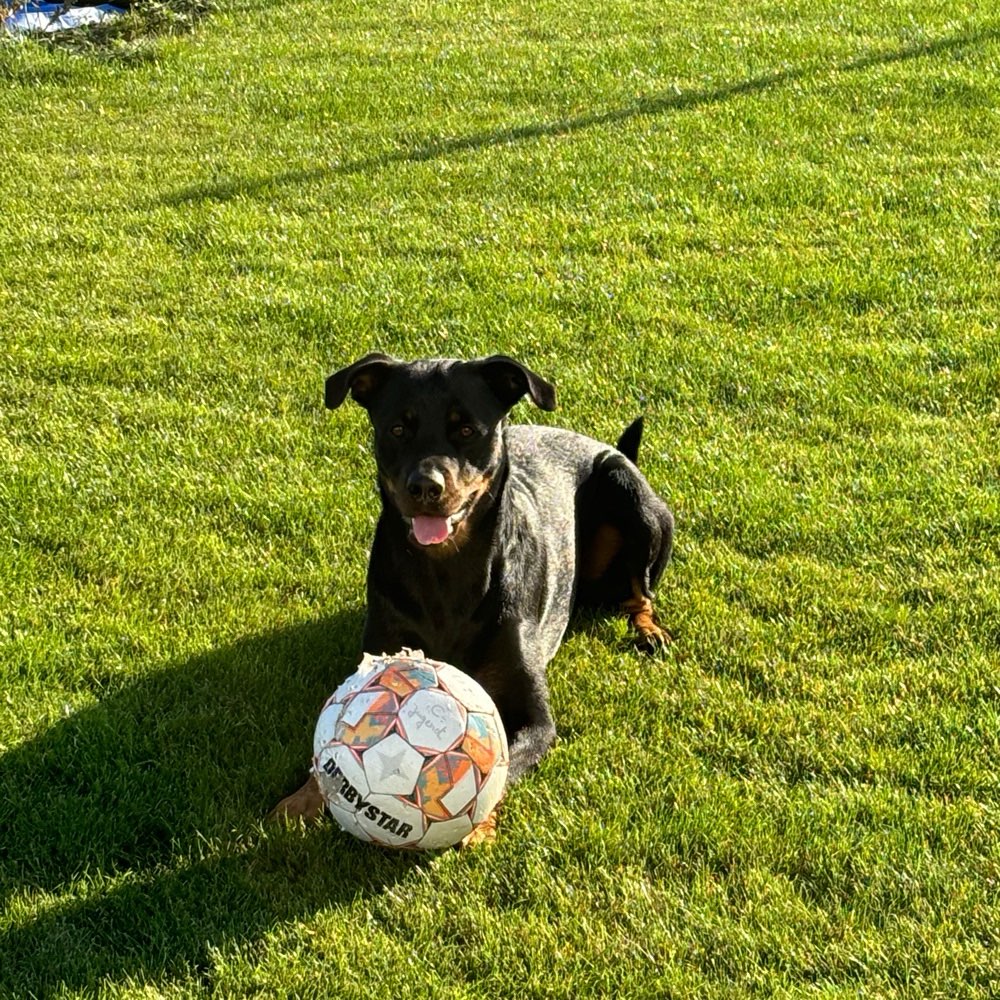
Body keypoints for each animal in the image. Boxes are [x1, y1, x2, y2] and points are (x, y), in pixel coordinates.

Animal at [270, 356, 676, 832]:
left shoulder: (535, 718)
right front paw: (301, 798)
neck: (446, 574)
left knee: (641, 591)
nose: (426, 486)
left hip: (630, 492)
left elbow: (503, 767)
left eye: (467, 429)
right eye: (397, 429)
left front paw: (477, 824)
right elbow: (332, 738)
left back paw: (649, 630)